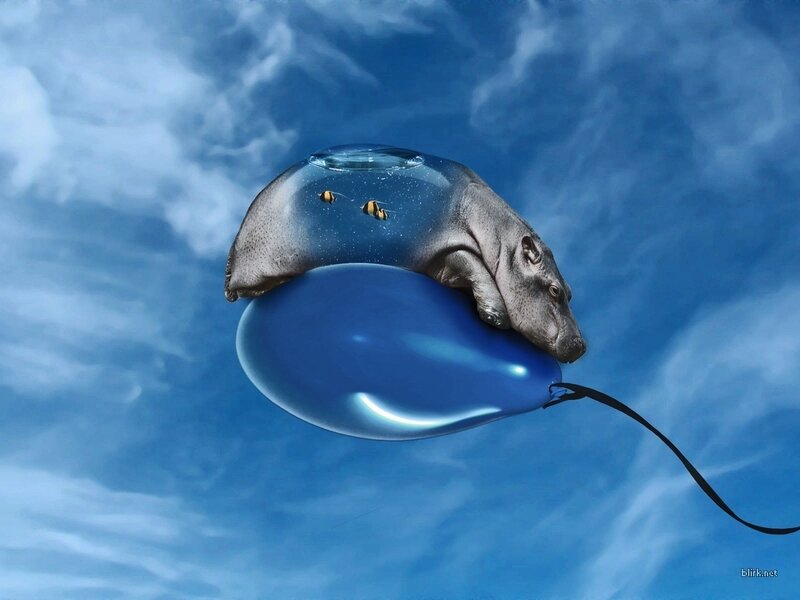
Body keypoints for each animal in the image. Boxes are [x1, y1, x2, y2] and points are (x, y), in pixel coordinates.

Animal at [225, 144, 586, 363]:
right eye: (554, 290)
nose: (582, 346)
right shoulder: (448, 248)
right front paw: (496, 316)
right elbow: (475, 266)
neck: (501, 241)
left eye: (570, 291)